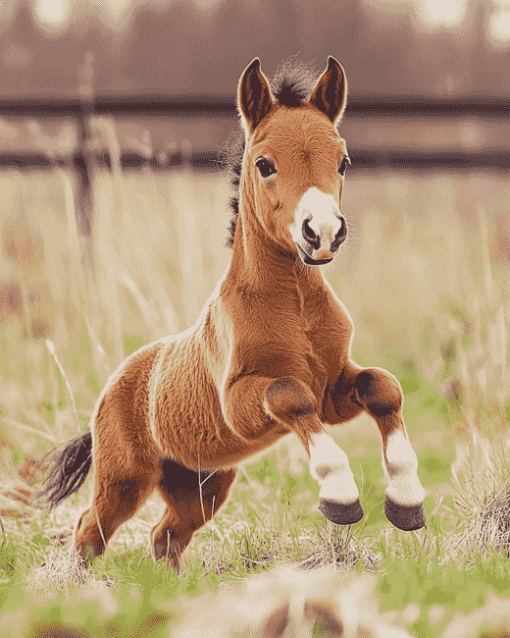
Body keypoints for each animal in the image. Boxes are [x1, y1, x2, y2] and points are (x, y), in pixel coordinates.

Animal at [37, 57, 424, 572]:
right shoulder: (242, 404)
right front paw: (340, 496)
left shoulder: (333, 391)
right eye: (264, 164)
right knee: (91, 529)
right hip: (126, 479)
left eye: (342, 161)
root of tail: (110, 388)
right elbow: (288, 394)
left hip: (202, 485)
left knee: (165, 535)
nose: (323, 233)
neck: (295, 309)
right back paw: (80, 584)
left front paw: (406, 500)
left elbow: (383, 386)